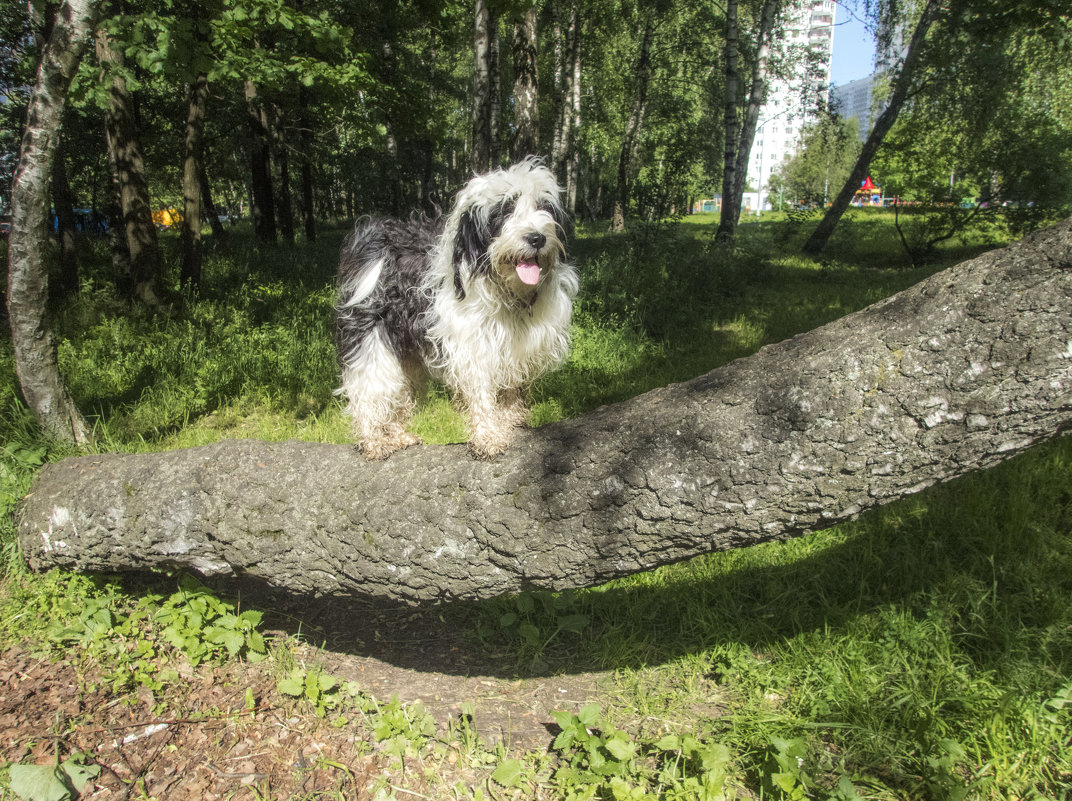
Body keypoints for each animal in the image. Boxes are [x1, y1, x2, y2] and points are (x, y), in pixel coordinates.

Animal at [336, 160, 578, 461]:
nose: (537, 238)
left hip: (406, 351)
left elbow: (511, 389)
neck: (505, 289)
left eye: (545, 208)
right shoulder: (473, 345)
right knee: (370, 387)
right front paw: (488, 436)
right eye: (505, 209)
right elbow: (481, 393)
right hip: (369, 336)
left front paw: (510, 422)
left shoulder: (518, 347)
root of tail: (377, 236)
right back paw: (374, 440)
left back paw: (398, 435)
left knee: (400, 391)